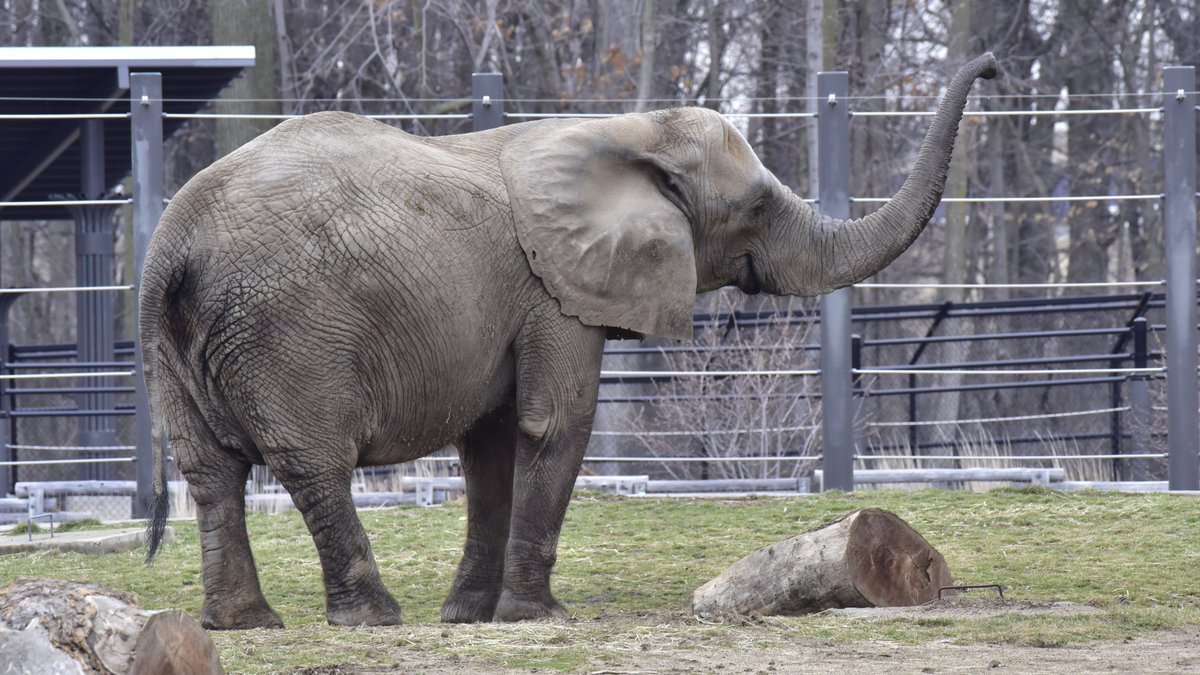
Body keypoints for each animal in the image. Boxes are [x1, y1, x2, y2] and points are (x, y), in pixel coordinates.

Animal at [140, 51, 998, 624]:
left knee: (208, 472)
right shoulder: (554, 291)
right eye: (754, 207)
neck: (619, 131)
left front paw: (470, 617)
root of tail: (172, 244)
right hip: (289, 332)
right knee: (314, 462)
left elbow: (491, 443)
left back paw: (244, 624)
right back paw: (372, 616)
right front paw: (536, 616)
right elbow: (556, 423)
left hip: (174, 345)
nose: (990, 68)